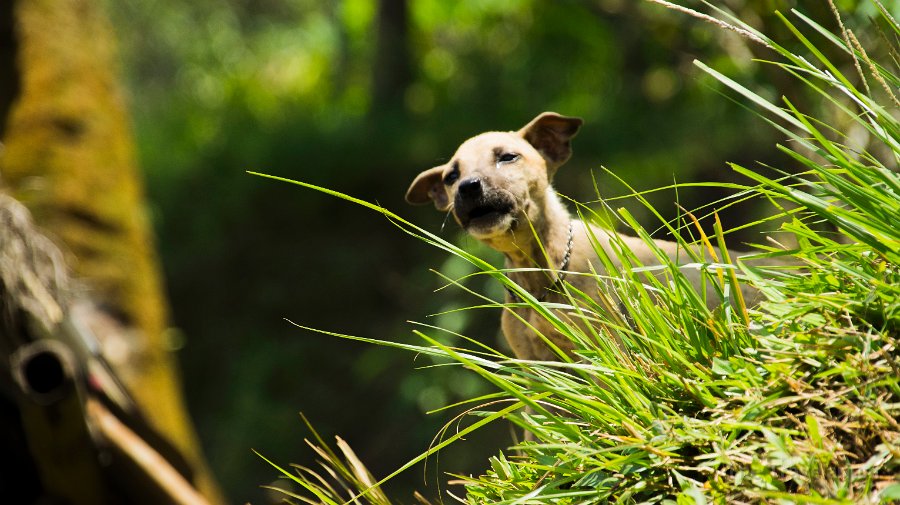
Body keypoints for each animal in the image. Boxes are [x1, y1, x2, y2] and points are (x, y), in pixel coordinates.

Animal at [406, 112, 760, 360]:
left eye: (507, 157)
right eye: (451, 176)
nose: (467, 187)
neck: (542, 279)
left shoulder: (611, 350)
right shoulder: (539, 371)